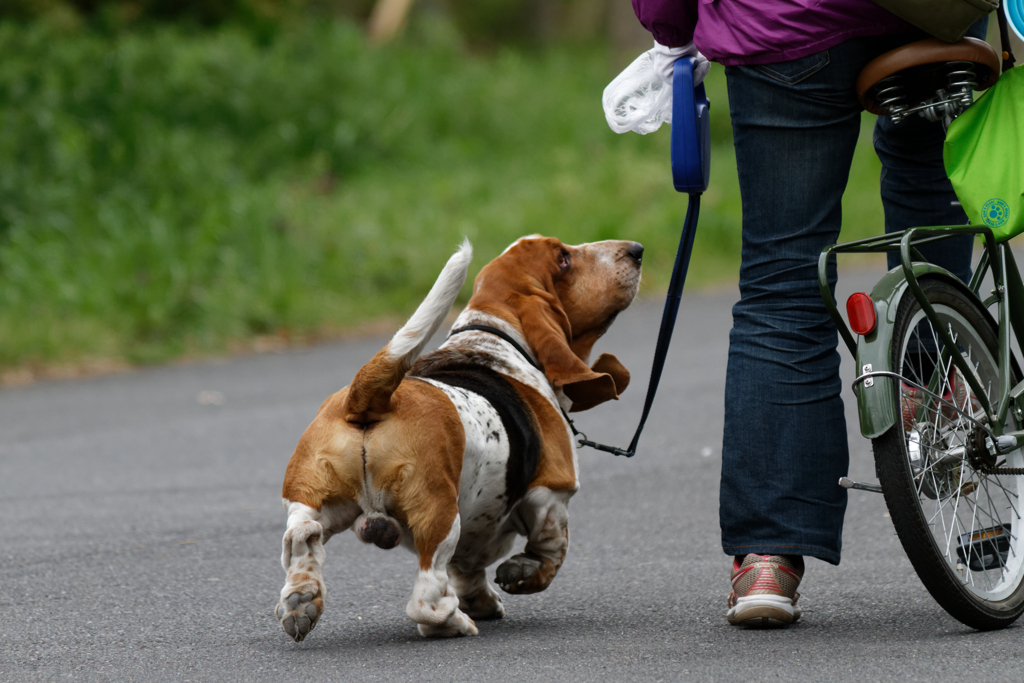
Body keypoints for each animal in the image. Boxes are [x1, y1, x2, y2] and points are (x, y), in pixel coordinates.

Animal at [272, 235, 638, 643]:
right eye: (563, 259)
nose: (636, 250)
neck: (492, 339)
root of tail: (369, 396)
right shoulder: (552, 494)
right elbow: (552, 548)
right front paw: (524, 574)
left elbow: (469, 567)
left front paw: (483, 598)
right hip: (439, 513)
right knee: (426, 596)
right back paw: (452, 623)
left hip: (315, 496)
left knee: (302, 535)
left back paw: (301, 602)